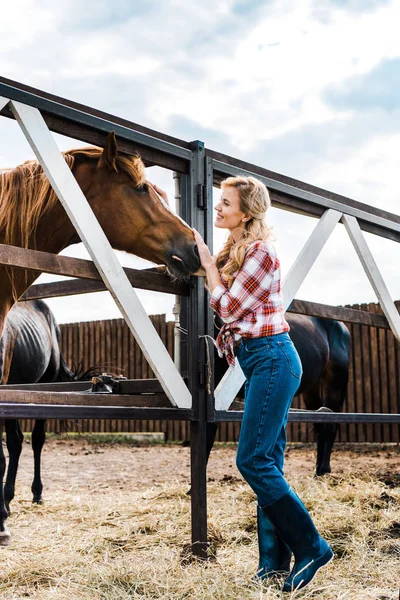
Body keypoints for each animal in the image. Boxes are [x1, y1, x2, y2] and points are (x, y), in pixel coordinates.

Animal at [211, 314, 352, 478]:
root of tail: (342, 327)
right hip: (313, 388)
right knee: (319, 420)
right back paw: (318, 470)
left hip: (335, 384)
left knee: (331, 422)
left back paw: (323, 469)